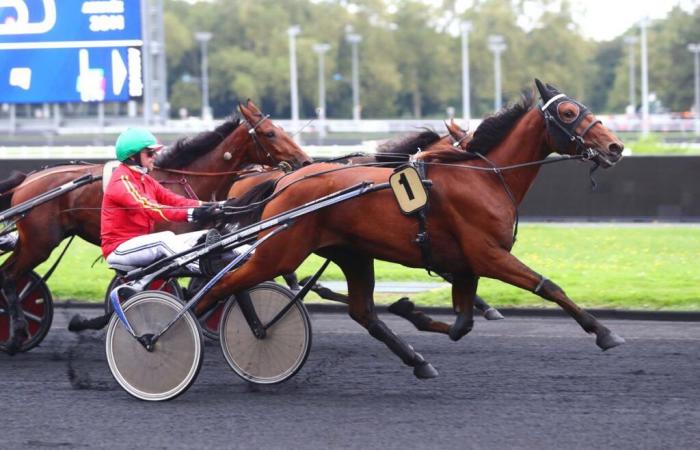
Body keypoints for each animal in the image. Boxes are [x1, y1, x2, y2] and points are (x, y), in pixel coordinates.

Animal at [0, 100, 312, 354]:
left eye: (280, 128)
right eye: (270, 133)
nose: (305, 160)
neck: (189, 178)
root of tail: (28, 179)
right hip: (39, 243)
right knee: (8, 275)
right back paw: (15, 335)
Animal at [200, 79, 628, 378]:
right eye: (569, 112)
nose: (616, 147)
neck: (484, 176)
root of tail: (286, 180)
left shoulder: (466, 264)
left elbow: (461, 324)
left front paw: (410, 309)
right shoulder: (488, 255)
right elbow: (548, 286)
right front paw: (604, 332)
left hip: (351, 253)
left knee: (364, 313)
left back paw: (417, 360)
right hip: (280, 251)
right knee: (222, 285)